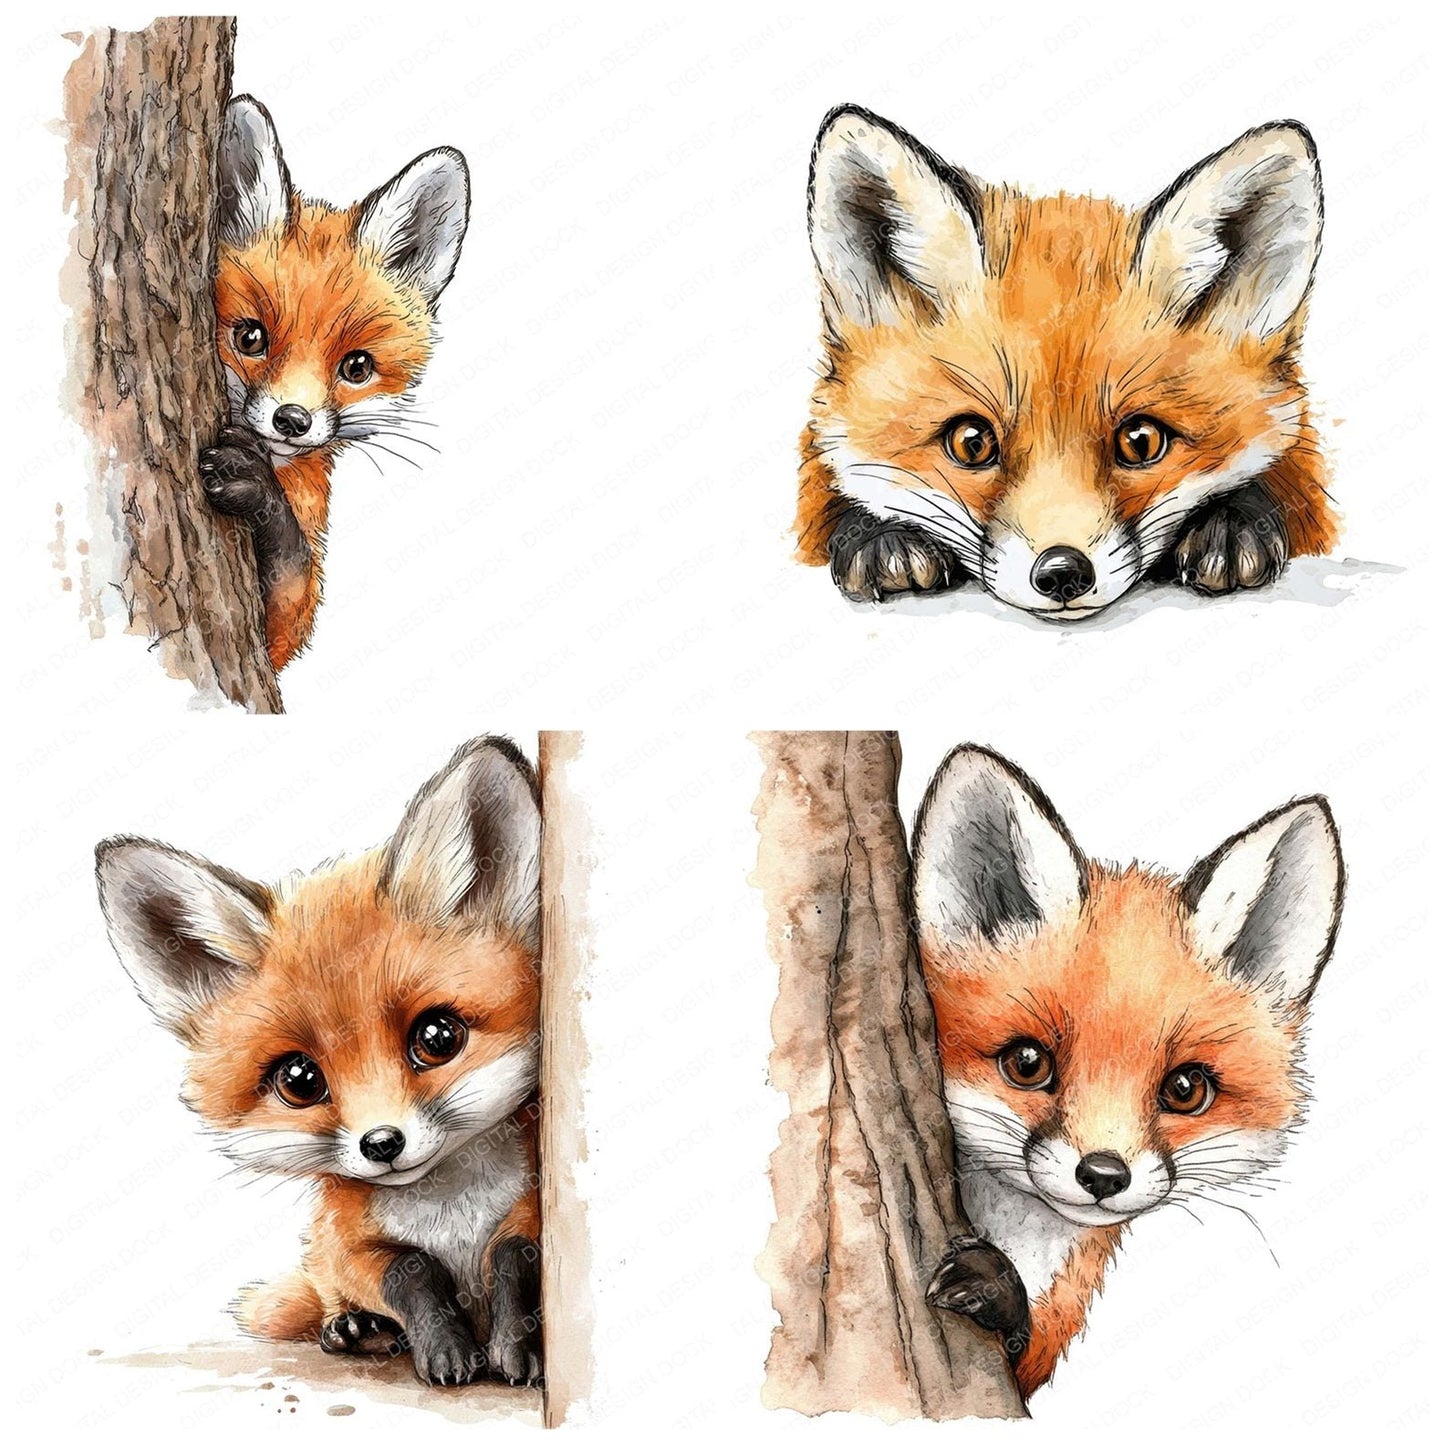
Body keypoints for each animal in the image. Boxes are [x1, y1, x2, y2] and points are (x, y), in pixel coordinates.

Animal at [95, 737, 542, 1388]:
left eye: (437, 1037)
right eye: (299, 1080)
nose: (382, 1143)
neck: (450, 1213)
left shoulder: (532, 1205)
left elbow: (513, 1255)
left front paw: (517, 1347)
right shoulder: (343, 1246)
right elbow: (410, 1268)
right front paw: (445, 1348)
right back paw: (357, 1331)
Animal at [199, 96, 469, 671]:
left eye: (357, 368)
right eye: (250, 337)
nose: (291, 420)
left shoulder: (282, 633)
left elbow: (294, 569)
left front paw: (254, 490)